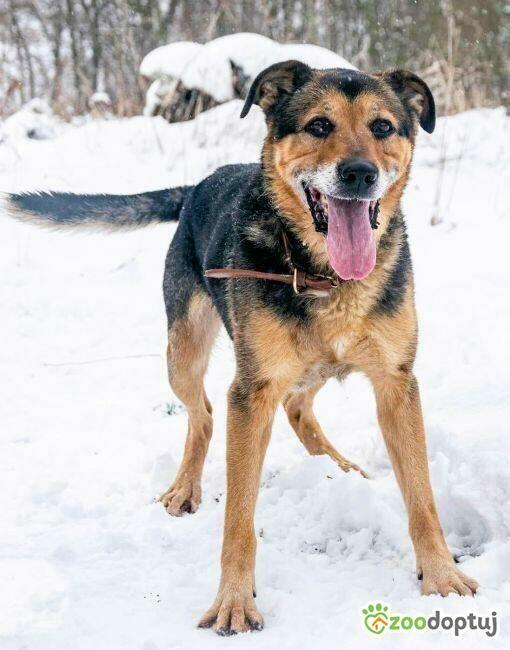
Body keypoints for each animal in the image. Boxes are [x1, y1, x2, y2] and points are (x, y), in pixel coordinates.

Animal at [2, 60, 478, 632]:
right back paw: (186, 488)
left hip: (310, 367)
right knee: (204, 415)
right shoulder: (251, 393)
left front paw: (441, 575)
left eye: (383, 127)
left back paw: (339, 468)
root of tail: (196, 186)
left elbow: (422, 498)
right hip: (184, 353)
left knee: (298, 408)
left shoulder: (396, 382)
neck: (325, 276)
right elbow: (238, 519)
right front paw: (234, 600)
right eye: (319, 126)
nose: (360, 173)